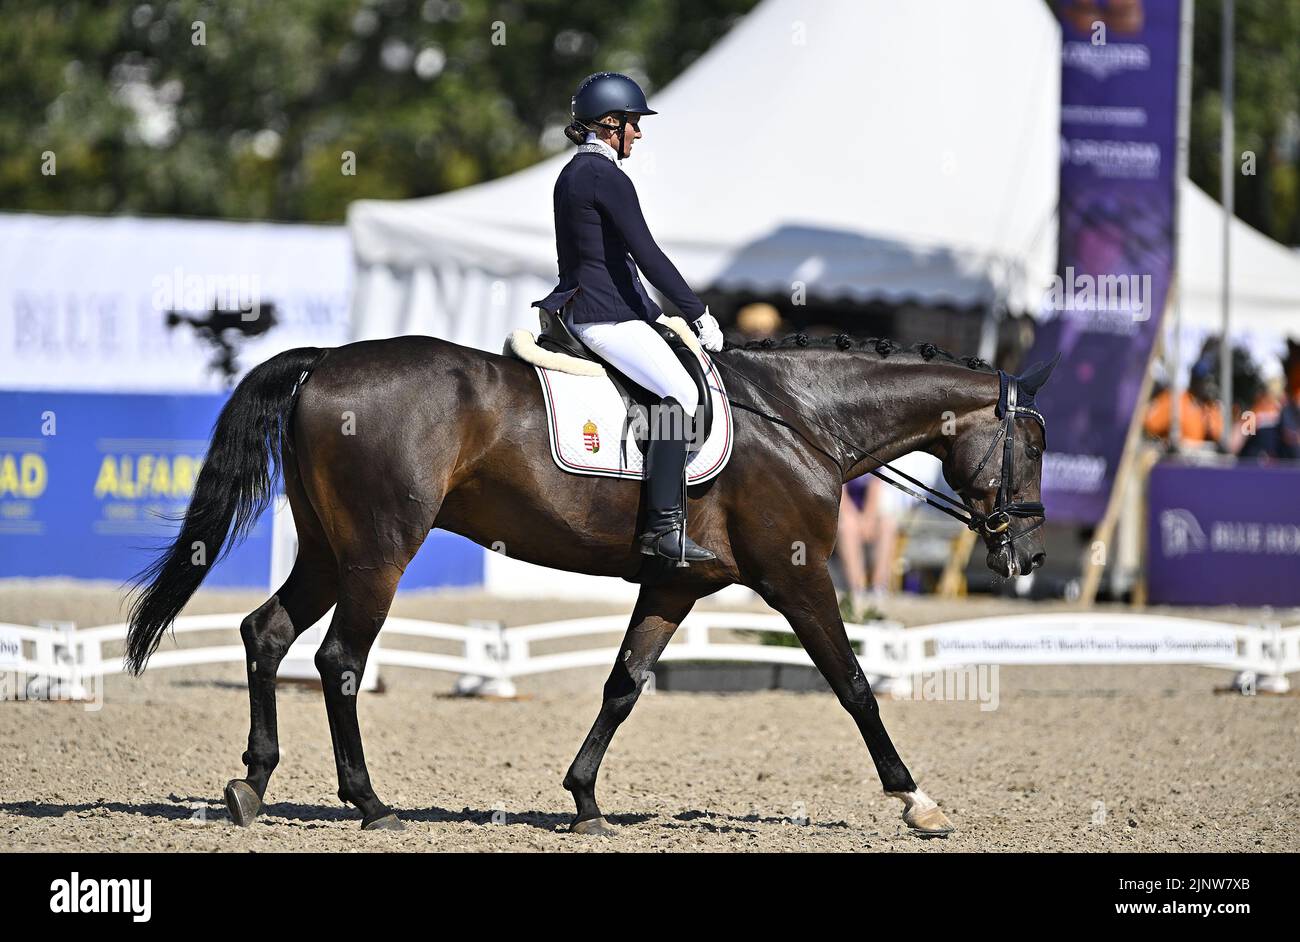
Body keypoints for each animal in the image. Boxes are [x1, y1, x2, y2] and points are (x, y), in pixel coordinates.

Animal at [124, 332, 1055, 836]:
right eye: (1037, 443)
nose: (1029, 556)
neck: (803, 420)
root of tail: (325, 365)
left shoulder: (675, 587)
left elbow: (624, 685)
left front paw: (584, 799)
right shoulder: (795, 577)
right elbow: (854, 683)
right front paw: (917, 800)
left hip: (328, 549)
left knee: (267, 635)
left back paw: (252, 784)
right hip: (379, 551)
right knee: (340, 660)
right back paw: (370, 803)